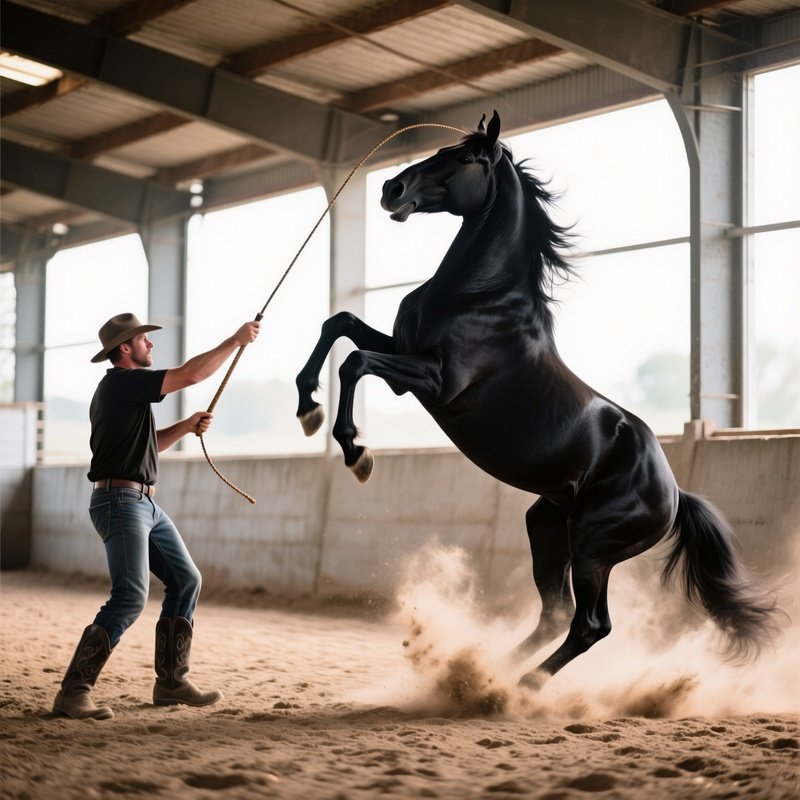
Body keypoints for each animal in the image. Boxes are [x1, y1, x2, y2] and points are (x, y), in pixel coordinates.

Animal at [295, 111, 780, 687]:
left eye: (465, 158)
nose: (392, 188)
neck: (480, 294)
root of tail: (674, 493)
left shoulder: (432, 380)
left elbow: (353, 361)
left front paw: (355, 452)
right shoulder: (402, 351)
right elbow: (340, 324)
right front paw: (307, 407)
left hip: (591, 544)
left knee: (590, 624)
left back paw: (517, 690)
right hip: (546, 527)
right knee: (555, 613)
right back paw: (487, 676)